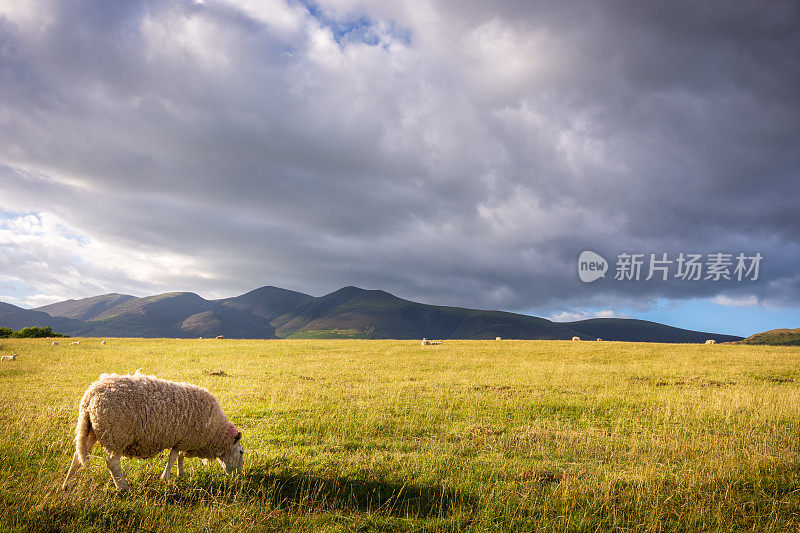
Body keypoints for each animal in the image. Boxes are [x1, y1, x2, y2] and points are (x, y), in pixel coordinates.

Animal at [62, 370, 242, 490]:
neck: (216, 432)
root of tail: (90, 396)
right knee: (112, 463)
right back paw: (123, 488)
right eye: (241, 452)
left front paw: (180, 474)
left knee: (77, 457)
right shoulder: (183, 438)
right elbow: (173, 458)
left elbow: (179, 457)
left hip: (91, 430)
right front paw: (166, 478)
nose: (239, 477)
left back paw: (67, 484)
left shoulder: (182, 439)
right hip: (116, 435)